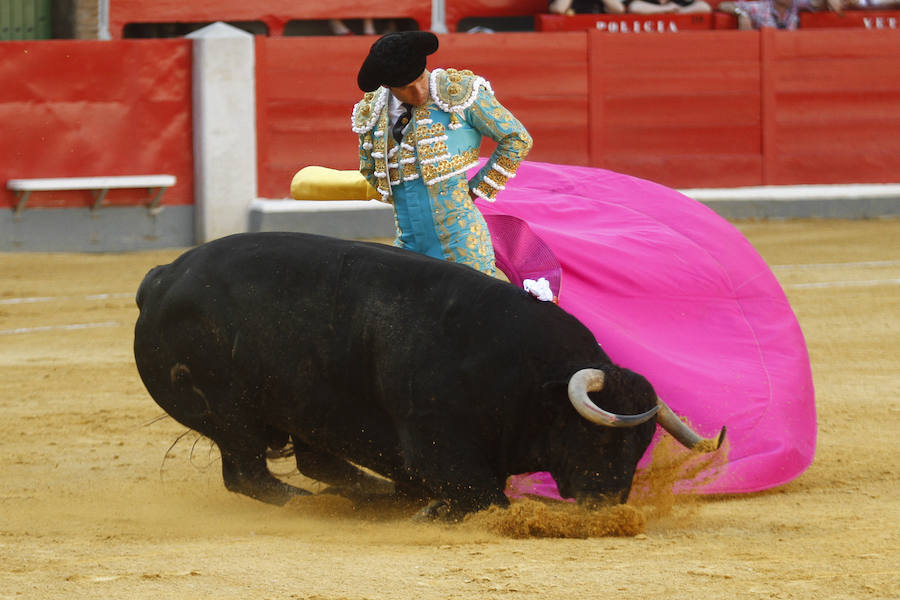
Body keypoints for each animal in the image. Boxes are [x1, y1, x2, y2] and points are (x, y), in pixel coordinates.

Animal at [134, 232, 724, 516]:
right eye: (598, 439)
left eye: (641, 446)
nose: (607, 506)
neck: (528, 379)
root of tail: (163, 276)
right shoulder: (441, 448)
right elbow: (487, 499)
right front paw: (431, 511)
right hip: (230, 414)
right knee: (249, 474)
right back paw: (324, 506)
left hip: (303, 410)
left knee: (318, 462)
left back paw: (367, 498)